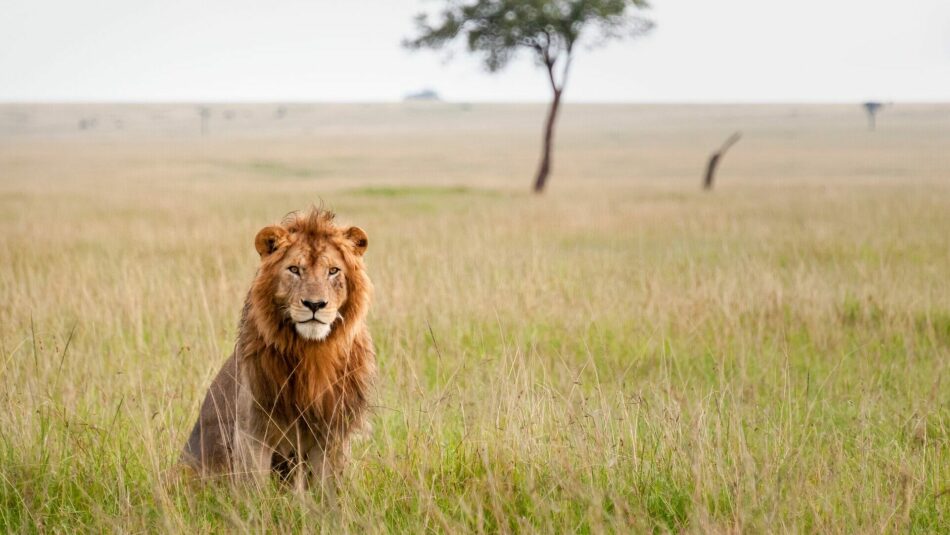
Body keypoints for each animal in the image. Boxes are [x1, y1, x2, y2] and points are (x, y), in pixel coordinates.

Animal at [184, 208, 378, 490]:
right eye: (294, 269)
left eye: (333, 271)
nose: (315, 304)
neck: (312, 353)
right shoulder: (252, 430)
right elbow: (254, 488)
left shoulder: (333, 433)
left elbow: (329, 488)